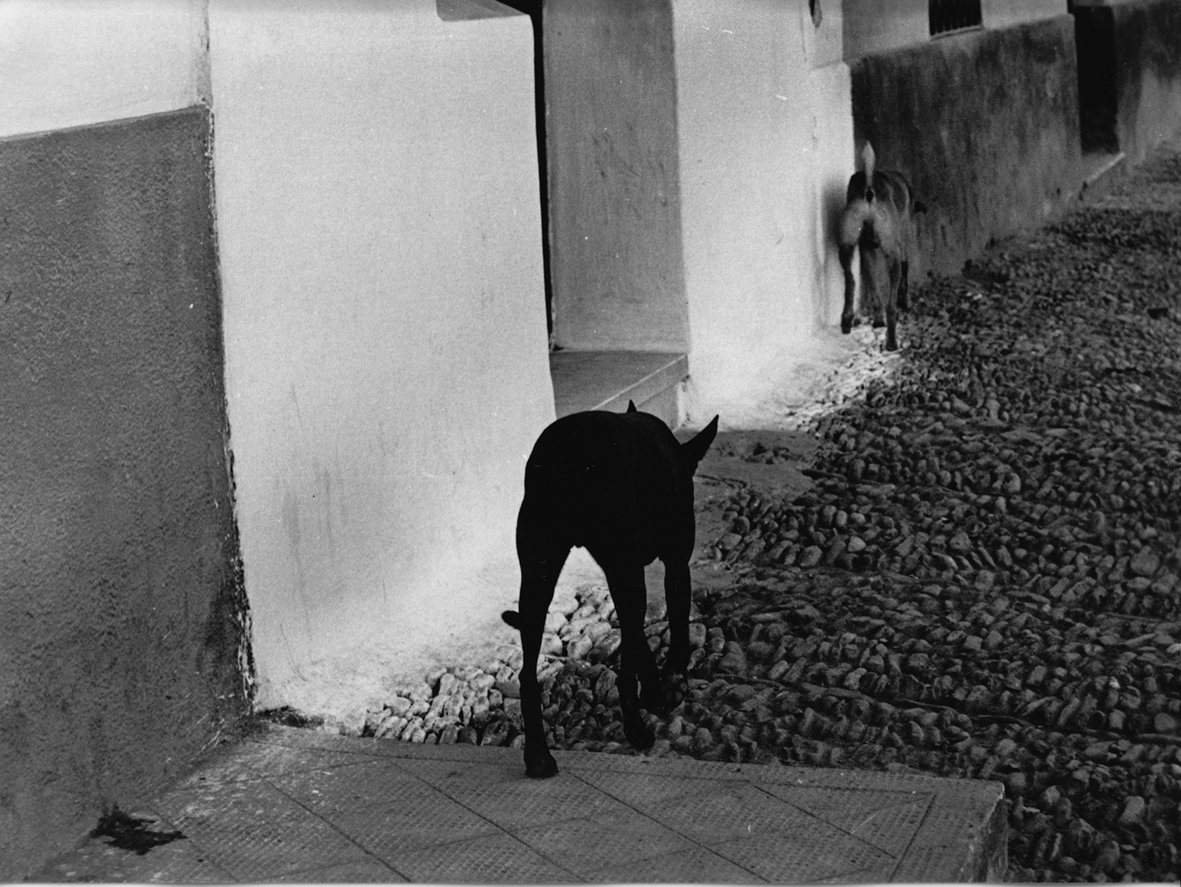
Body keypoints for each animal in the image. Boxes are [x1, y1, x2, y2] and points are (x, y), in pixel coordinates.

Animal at [502, 401, 719, 778]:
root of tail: (569, 453)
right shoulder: (674, 565)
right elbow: (676, 628)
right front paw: (670, 682)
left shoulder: (619, 574)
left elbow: (638, 638)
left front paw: (657, 690)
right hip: (624, 563)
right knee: (625, 668)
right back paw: (636, 730)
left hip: (537, 575)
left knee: (528, 676)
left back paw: (539, 757)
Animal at [838, 142, 926, 351]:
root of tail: (869, 187)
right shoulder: (903, 247)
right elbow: (906, 272)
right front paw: (905, 301)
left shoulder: (866, 250)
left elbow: (873, 288)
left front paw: (877, 321)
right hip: (892, 257)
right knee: (890, 306)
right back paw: (891, 342)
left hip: (846, 246)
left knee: (850, 280)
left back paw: (847, 320)